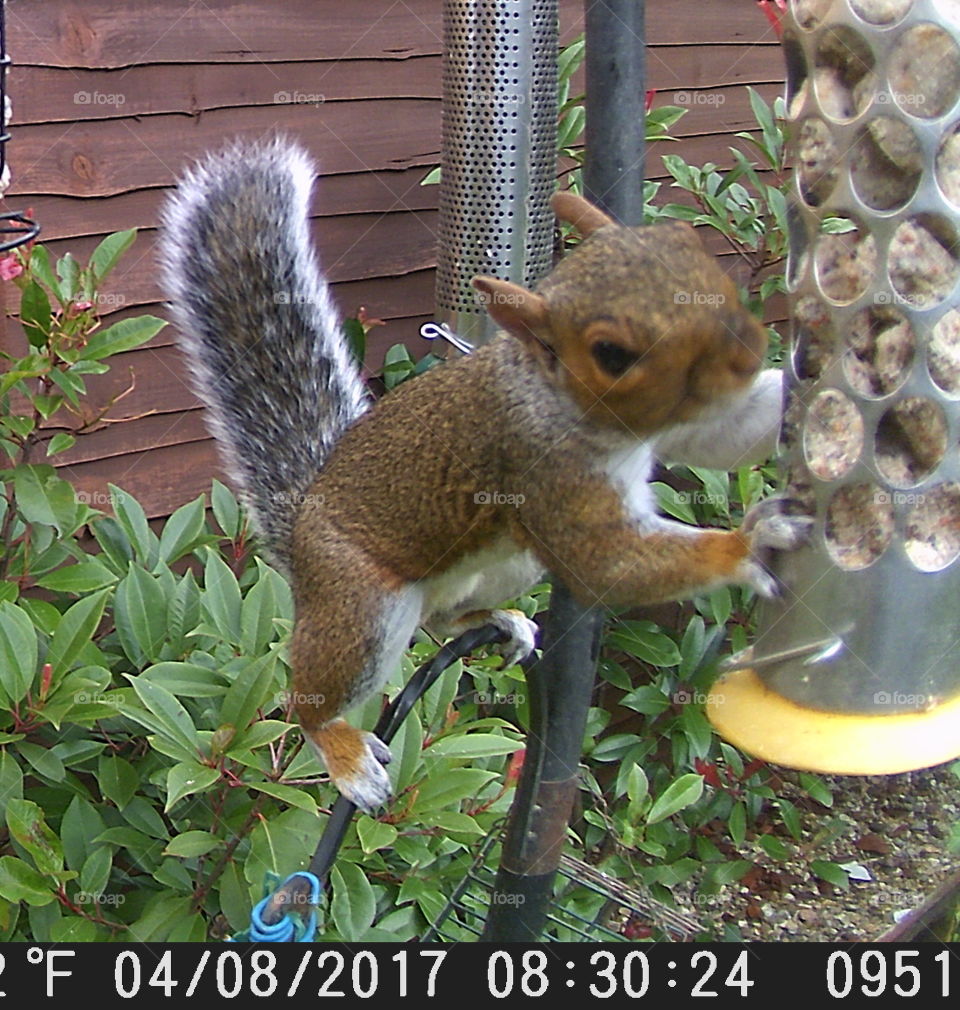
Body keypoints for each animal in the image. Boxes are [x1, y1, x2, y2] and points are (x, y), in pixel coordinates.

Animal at [159, 137, 808, 813]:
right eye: (612, 354)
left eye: (689, 245)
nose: (749, 349)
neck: (557, 398)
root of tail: (301, 534)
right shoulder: (542, 471)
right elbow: (606, 565)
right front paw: (750, 544)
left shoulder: (685, 423)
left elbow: (730, 435)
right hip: (360, 604)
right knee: (309, 695)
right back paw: (343, 754)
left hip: (508, 565)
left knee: (443, 621)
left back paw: (497, 622)